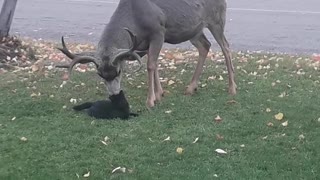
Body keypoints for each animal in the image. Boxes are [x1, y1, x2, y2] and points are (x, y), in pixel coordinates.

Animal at [55, 0, 236, 108]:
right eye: (100, 74)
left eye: (119, 71)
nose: (114, 94)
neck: (135, 19)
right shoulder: (144, 43)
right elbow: (154, 64)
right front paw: (160, 93)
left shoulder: (158, 32)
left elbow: (150, 65)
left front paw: (151, 100)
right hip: (194, 30)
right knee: (205, 46)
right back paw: (191, 88)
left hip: (216, 20)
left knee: (226, 47)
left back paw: (232, 88)